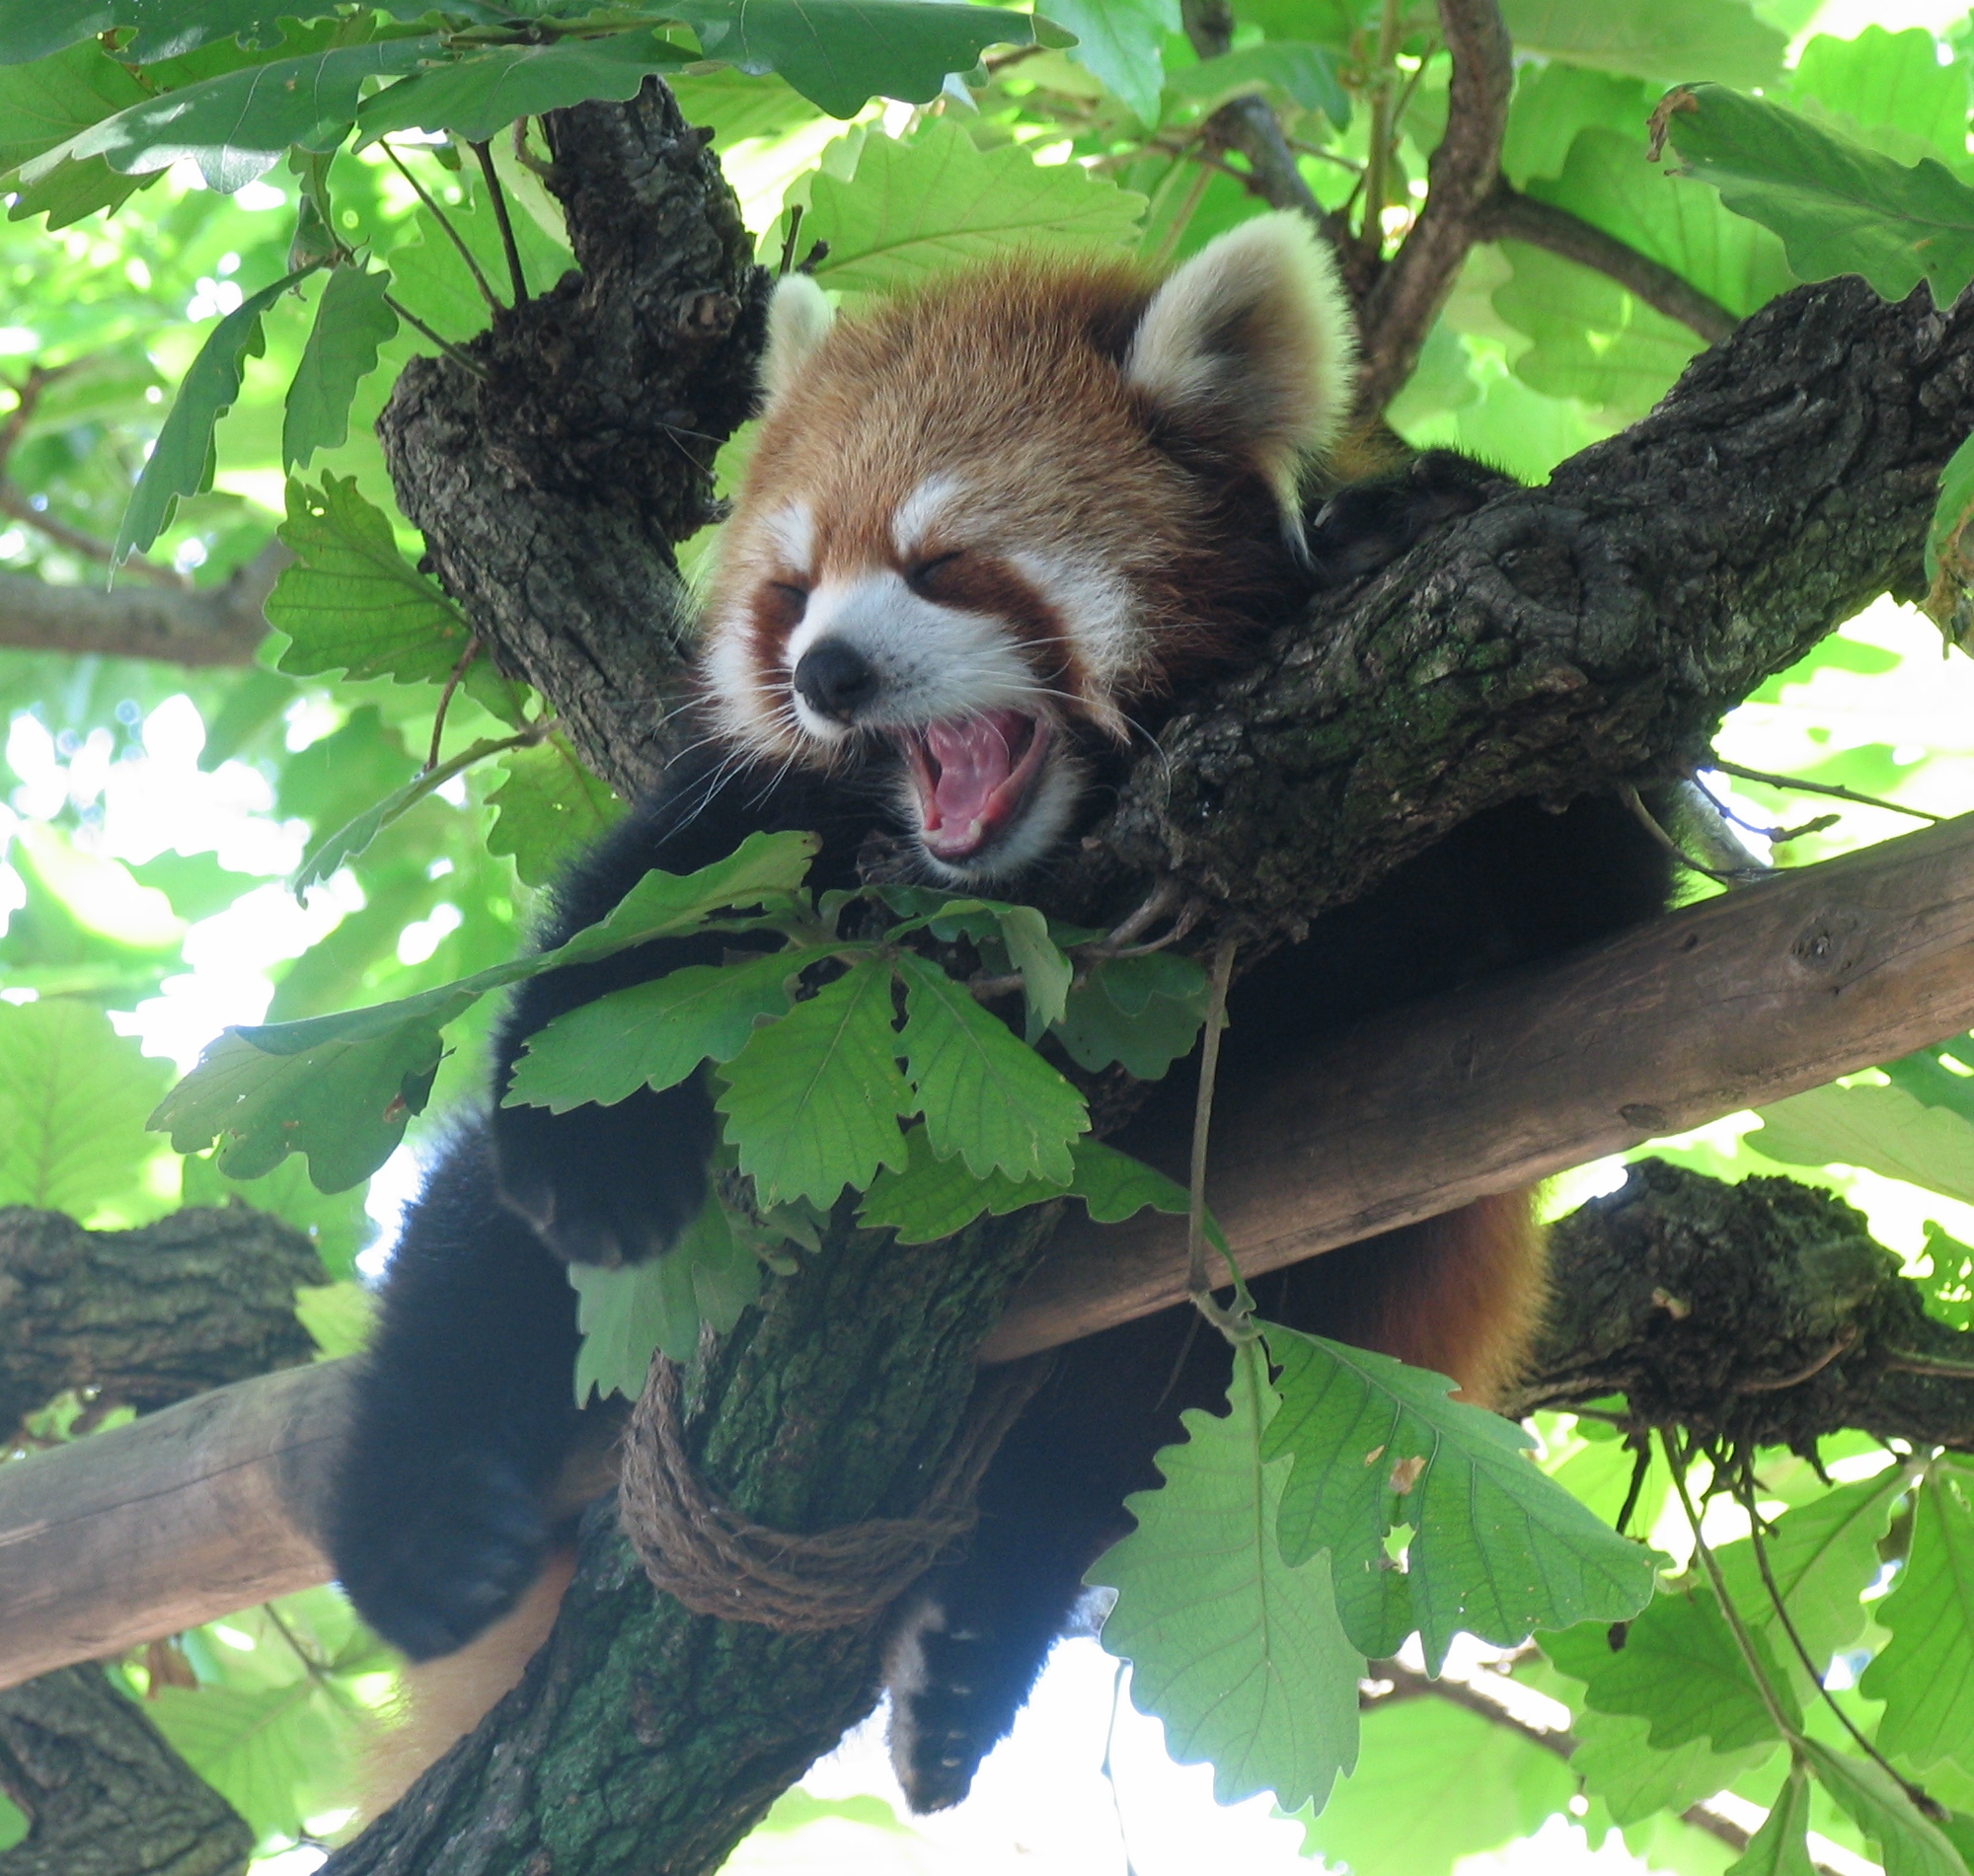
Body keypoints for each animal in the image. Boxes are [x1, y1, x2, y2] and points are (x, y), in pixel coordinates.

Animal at [328, 213, 1666, 1824]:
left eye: (944, 564)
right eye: (791, 589)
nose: (826, 671)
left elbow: (1598, 889)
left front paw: (1407, 519)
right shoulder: (780, 814)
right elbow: (633, 921)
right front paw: (588, 1159)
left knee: (1143, 1440)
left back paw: (974, 1640)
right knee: (473, 1253)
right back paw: (422, 1528)